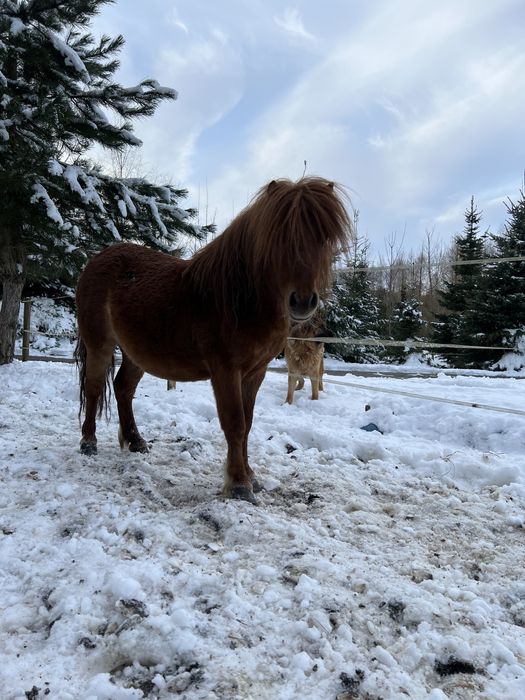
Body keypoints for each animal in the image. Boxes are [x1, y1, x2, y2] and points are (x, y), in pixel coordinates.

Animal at [74, 175, 352, 504]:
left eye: (323, 238)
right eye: (279, 238)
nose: (303, 302)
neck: (236, 300)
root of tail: (96, 261)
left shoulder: (255, 372)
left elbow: (248, 423)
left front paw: (251, 476)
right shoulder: (225, 371)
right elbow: (235, 423)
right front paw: (239, 484)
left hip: (136, 353)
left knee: (122, 388)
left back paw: (136, 441)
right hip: (99, 344)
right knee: (94, 387)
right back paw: (88, 442)